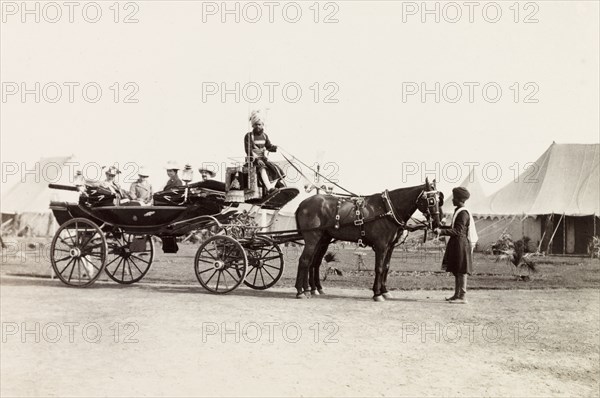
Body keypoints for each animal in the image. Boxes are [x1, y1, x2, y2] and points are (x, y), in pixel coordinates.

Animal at [292, 179, 442, 300]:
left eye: (439, 199)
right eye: (431, 200)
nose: (438, 224)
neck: (388, 209)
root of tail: (302, 204)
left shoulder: (390, 247)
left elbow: (386, 267)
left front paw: (385, 291)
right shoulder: (381, 246)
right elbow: (379, 268)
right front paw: (377, 294)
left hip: (322, 240)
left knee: (313, 262)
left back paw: (311, 289)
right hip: (312, 239)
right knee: (304, 261)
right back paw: (300, 291)